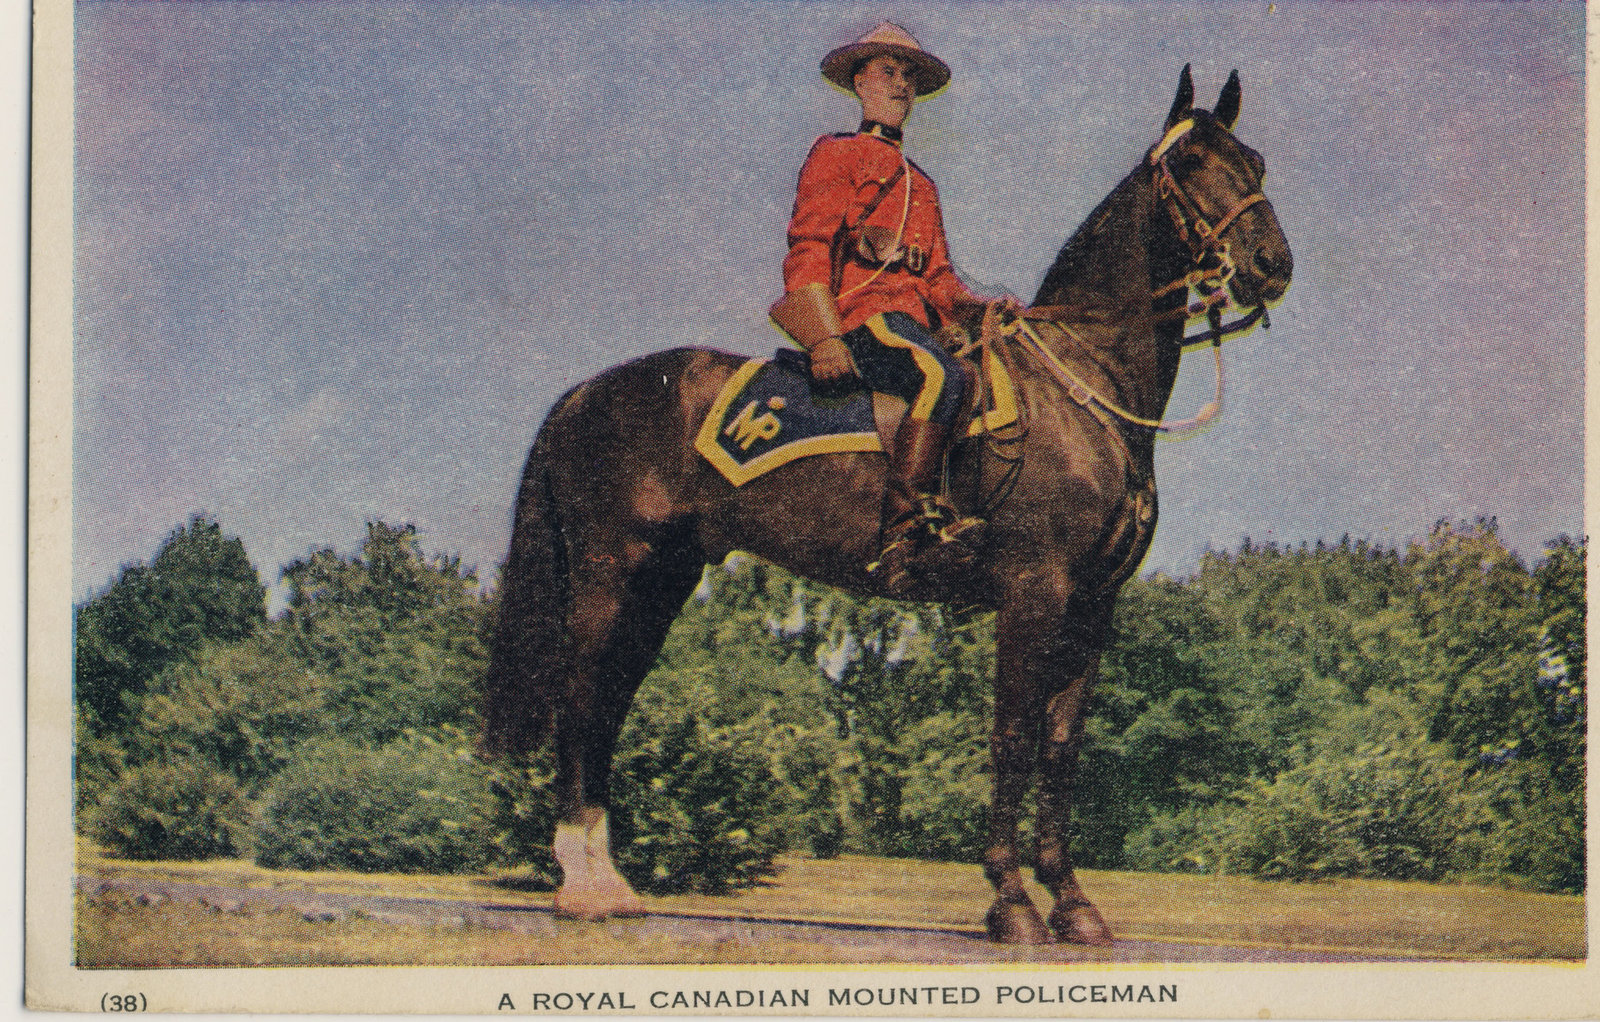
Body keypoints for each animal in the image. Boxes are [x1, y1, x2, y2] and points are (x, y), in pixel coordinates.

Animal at [473, 67, 1286, 946]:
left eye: (1254, 161)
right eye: (1194, 162)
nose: (1272, 264)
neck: (1084, 390)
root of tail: (586, 391)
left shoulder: (1094, 605)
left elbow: (1062, 747)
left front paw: (1073, 904)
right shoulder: (1034, 592)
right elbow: (1012, 736)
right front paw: (1012, 903)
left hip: (660, 582)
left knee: (609, 707)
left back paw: (608, 878)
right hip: (606, 574)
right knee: (580, 701)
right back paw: (583, 887)